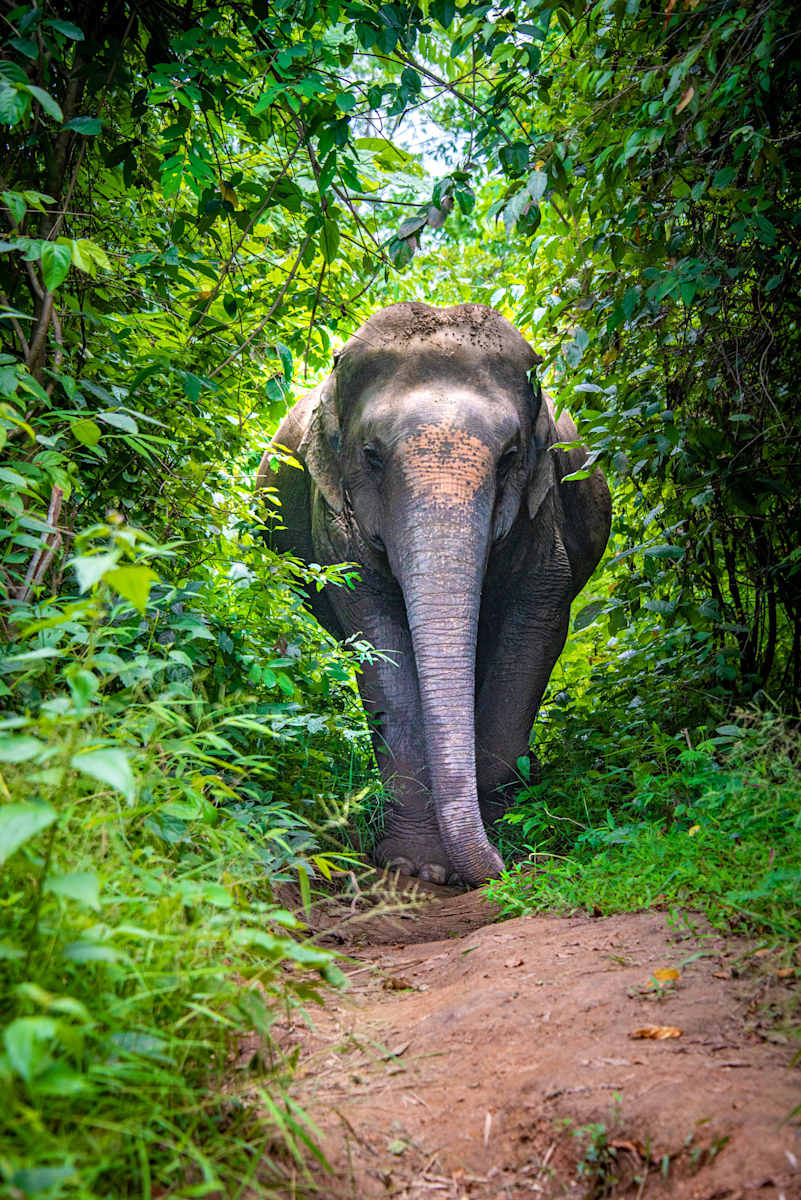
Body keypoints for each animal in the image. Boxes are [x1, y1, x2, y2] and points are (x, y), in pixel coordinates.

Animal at [256, 302, 611, 888]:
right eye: (372, 455)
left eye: (509, 456)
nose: (499, 870)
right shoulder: (335, 524)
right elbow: (378, 644)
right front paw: (416, 866)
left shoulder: (542, 513)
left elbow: (536, 625)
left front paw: (503, 843)